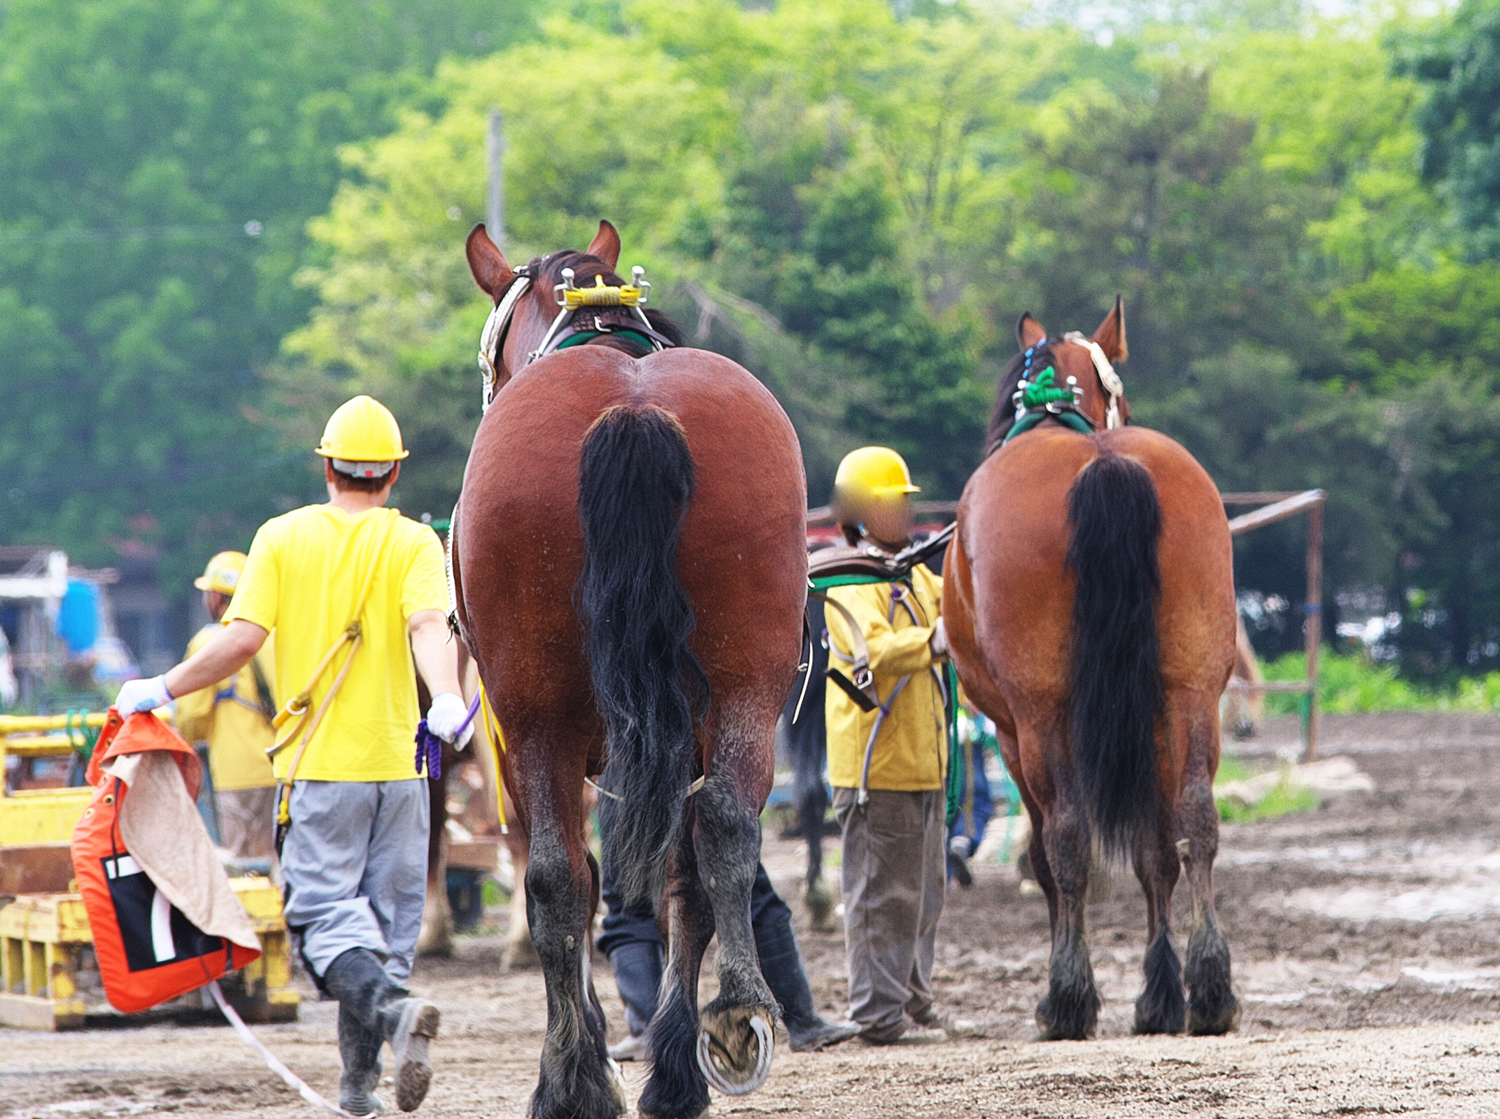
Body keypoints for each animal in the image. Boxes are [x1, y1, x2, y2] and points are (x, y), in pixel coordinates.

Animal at [455, 221, 808, 1119]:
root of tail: (636, 408)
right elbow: (686, 877)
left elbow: (571, 882)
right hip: (746, 681)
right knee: (722, 830)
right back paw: (725, 1022)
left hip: (536, 712)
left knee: (556, 879)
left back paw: (572, 1078)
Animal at [942, 299, 1240, 1041]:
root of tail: (1102, 463)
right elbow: (1156, 850)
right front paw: (1161, 996)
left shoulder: (1010, 732)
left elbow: (1049, 859)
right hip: (1191, 689)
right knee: (1196, 820)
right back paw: (1209, 989)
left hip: (1041, 716)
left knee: (1068, 838)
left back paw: (1067, 997)